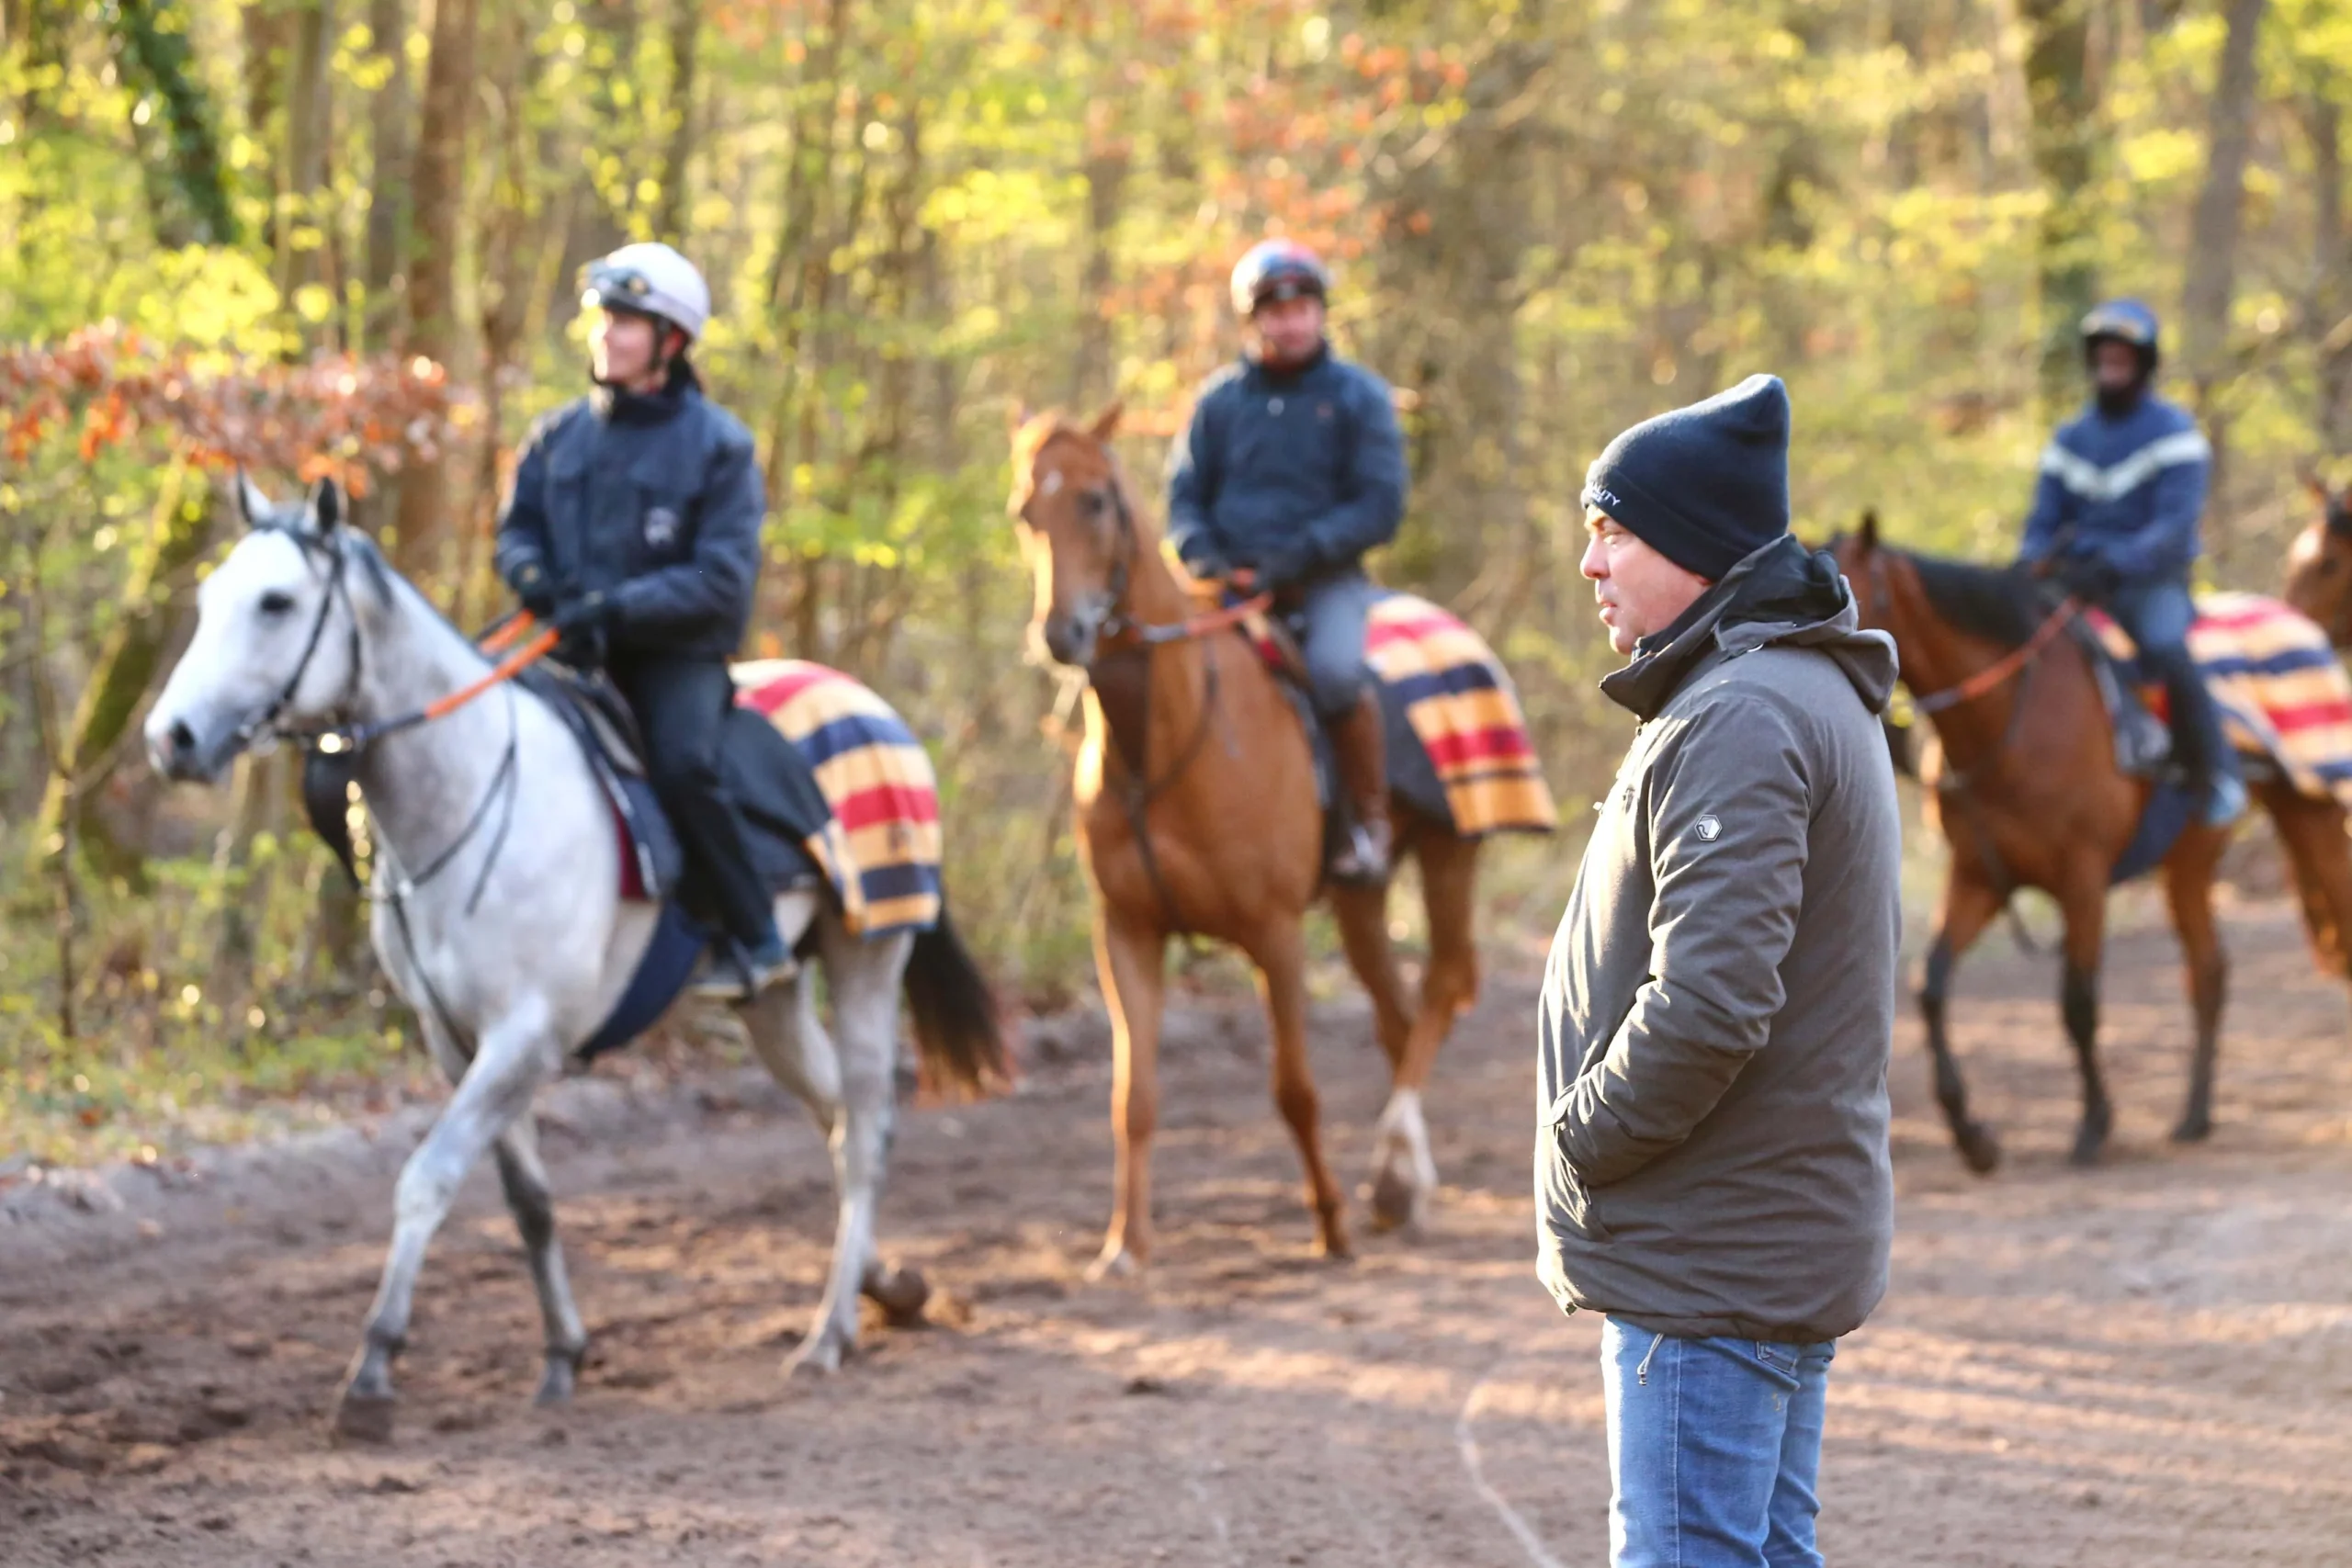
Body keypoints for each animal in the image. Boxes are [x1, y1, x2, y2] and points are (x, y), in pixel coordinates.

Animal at [141, 479, 997, 1448]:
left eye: (277, 602)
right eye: (209, 598)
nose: (172, 737)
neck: (469, 797)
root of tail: (883, 715)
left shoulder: (527, 1035)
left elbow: (427, 1178)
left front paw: (372, 1371)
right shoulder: (457, 1040)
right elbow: (530, 1202)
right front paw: (563, 1355)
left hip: (869, 964)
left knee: (866, 1133)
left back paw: (829, 1332)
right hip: (774, 1001)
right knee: (840, 1122)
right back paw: (891, 1286)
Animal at [1006, 404, 1486, 1279]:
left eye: (1094, 501)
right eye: (1028, 511)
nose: (1063, 632)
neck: (1163, 743)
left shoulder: (1275, 931)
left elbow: (1294, 1088)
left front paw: (1330, 1225)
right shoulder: (1126, 930)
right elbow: (1133, 1095)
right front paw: (1125, 1244)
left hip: (1449, 856)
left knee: (1440, 988)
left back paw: (1393, 1167)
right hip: (1362, 899)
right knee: (1397, 1015)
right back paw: (1401, 1183)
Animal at [1834, 522, 2352, 1170]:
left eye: (1854, 590)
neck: (2012, 720)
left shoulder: (2082, 877)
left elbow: (2077, 1002)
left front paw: (2093, 1124)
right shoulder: (1979, 875)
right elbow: (1930, 986)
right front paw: (1973, 1137)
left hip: (2314, 817)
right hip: (2189, 866)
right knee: (2208, 973)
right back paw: (2193, 1117)